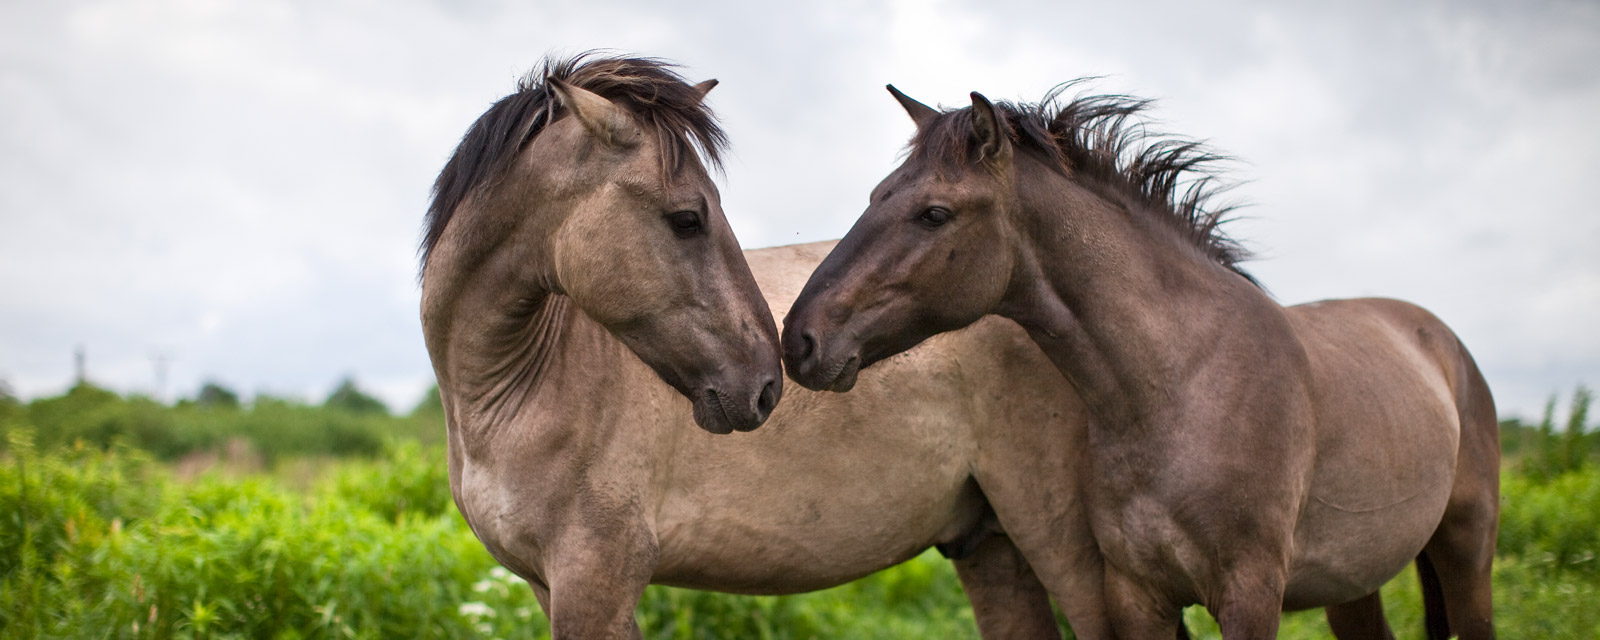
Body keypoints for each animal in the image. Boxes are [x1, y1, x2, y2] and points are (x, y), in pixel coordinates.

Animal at [425, 55, 1120, 640]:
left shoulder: (596, 582)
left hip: (1060, 542)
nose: (765, 383)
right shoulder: (547, 586)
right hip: (989, 544)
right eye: (687, 218)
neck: (515, 392)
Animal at [787, 84, 1497, 640]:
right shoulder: (1135, 595)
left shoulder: (1250, 593)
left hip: (1466, 550)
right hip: (1353, 583)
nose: (799, 340)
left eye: (934, 213)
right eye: (876, 194)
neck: (1181, 388)